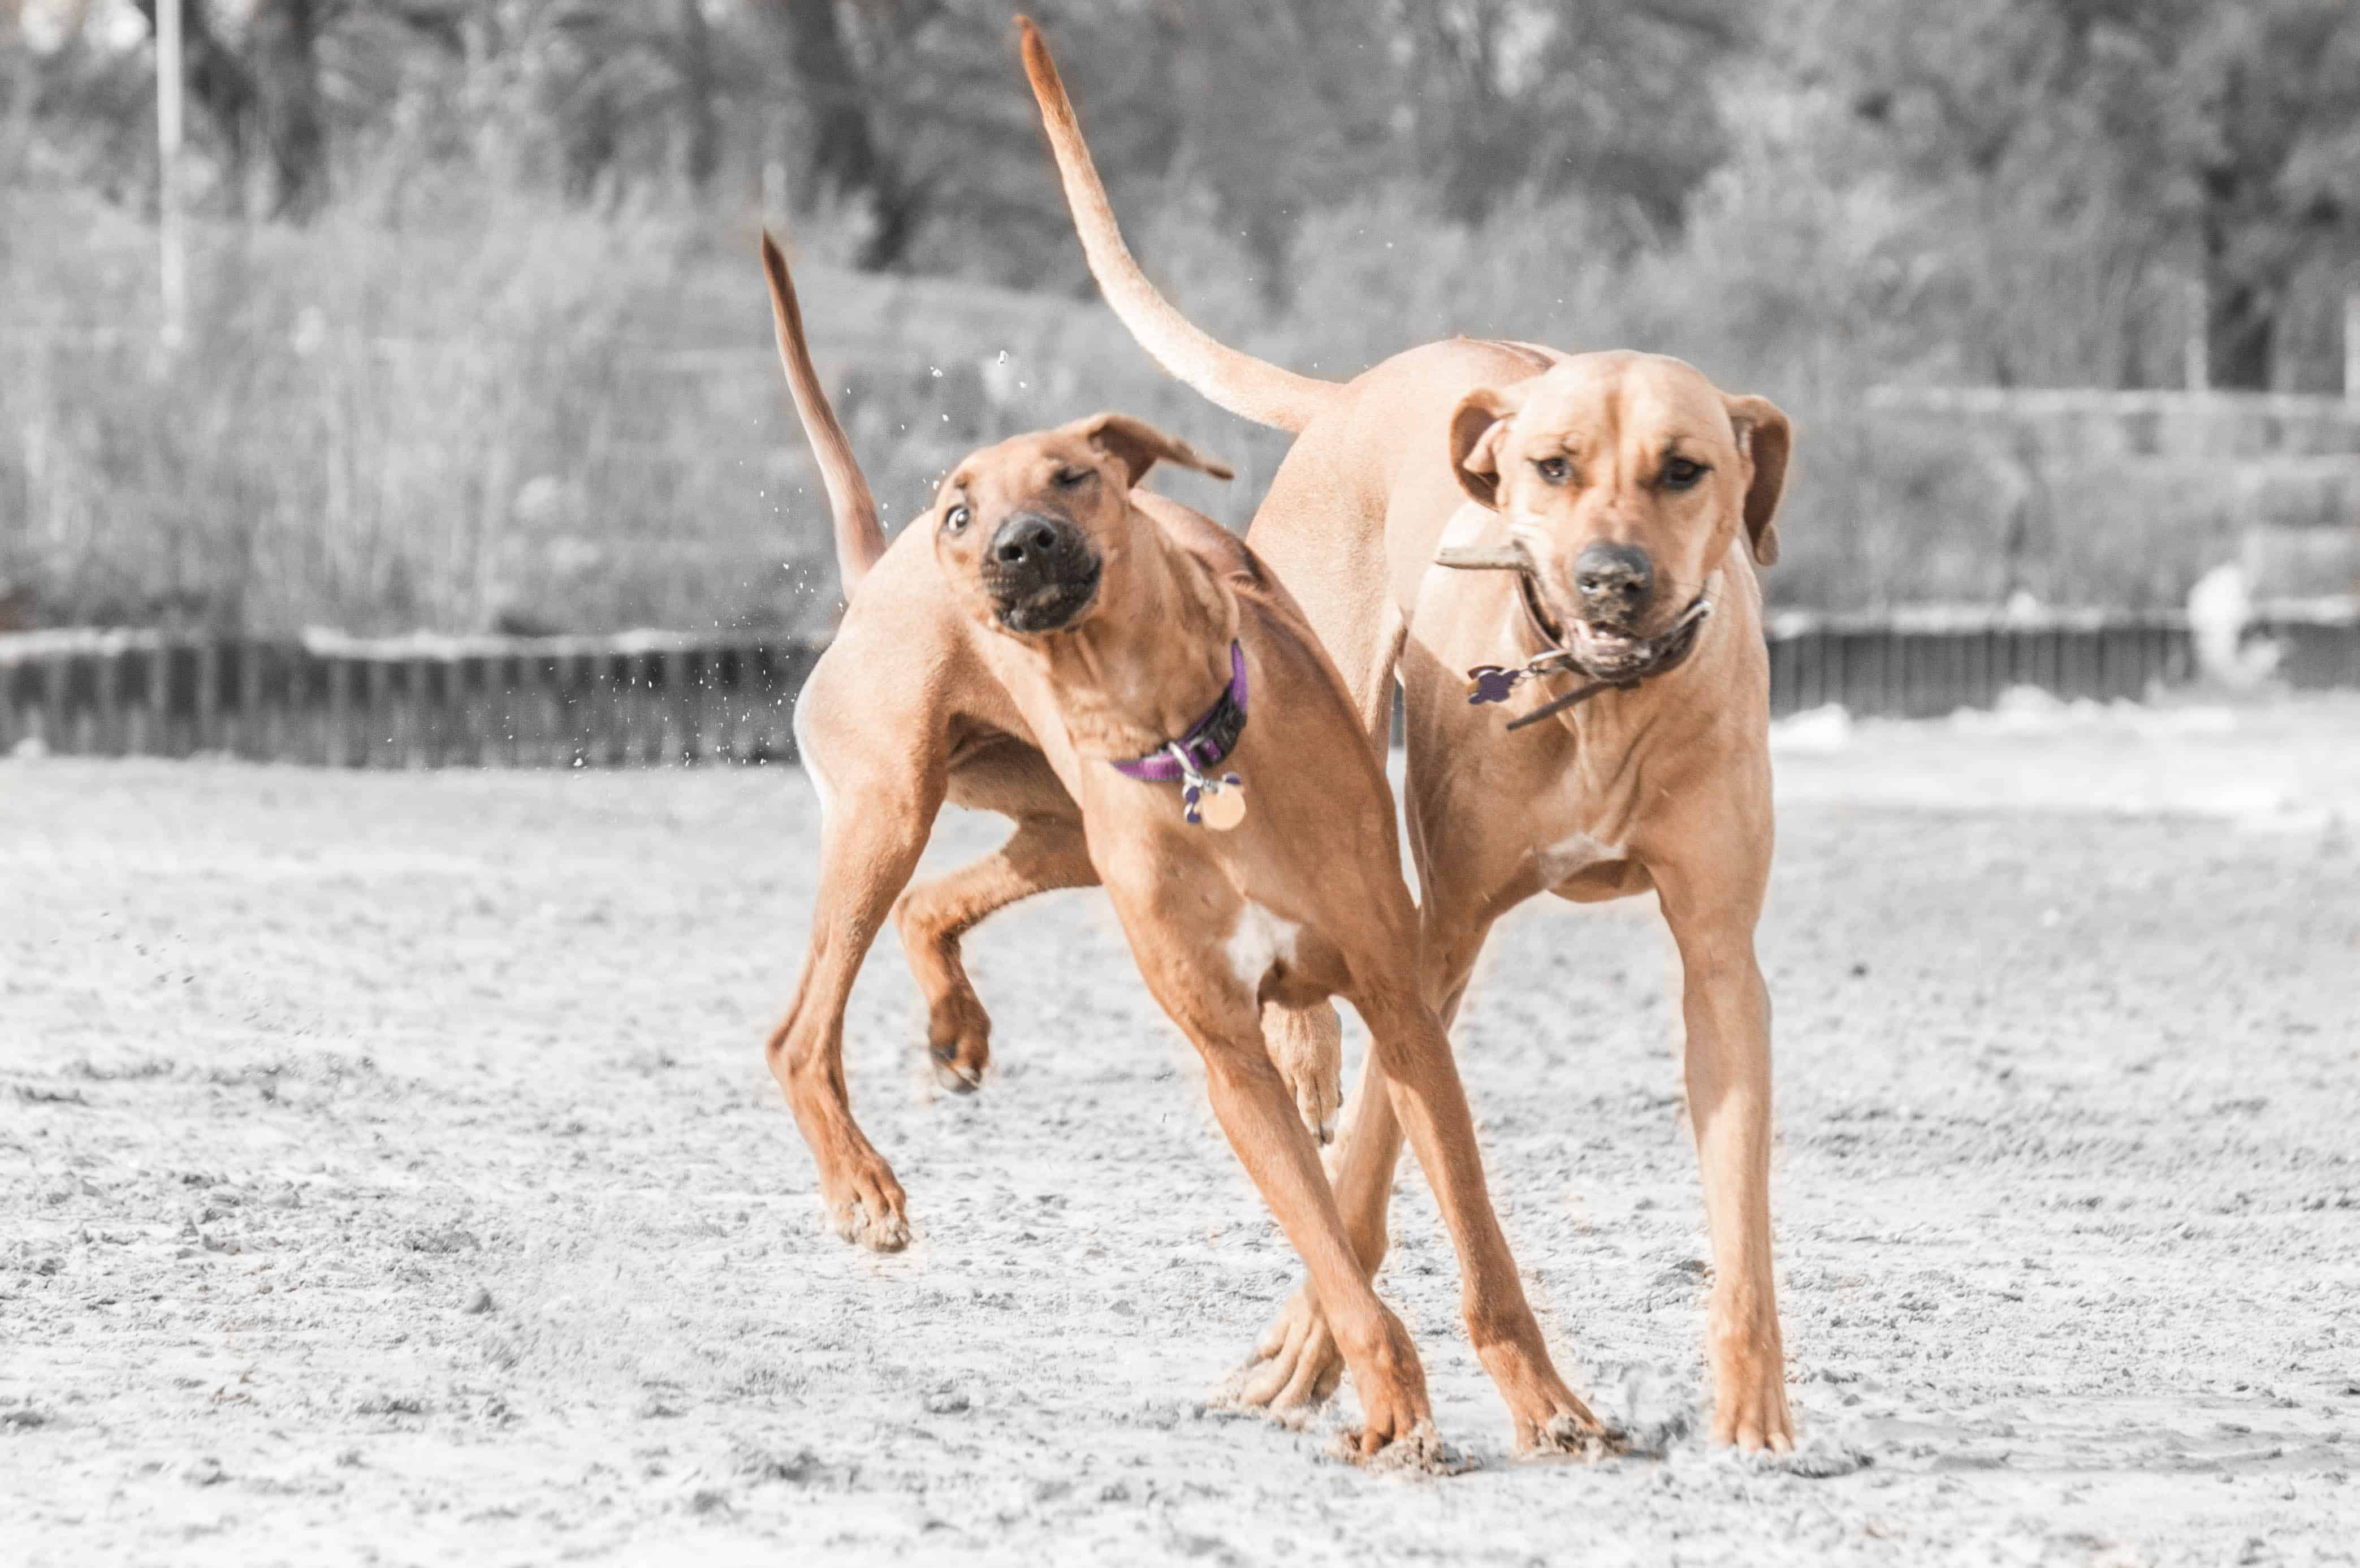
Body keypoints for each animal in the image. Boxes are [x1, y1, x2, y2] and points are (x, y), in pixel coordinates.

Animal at [755, 236, 1623, 1473]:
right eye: (966, 510)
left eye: (1073, 475)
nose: (1016, 545)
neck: (1179, 728)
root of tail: (882, 571)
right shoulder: (1230, 1058)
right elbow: (1330, 1247)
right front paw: (1385, 1401)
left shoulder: (1402, 1010)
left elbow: (1469, 1235)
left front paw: (1541, 1400)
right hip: (885, 808)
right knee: (799, 1029)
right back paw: (862, 1185)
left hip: (1055, 830)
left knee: (931, 903)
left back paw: (953, 1026)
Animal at [1024, 21, 1793, 1454]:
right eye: (1551, 467)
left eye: (1685, 469)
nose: (1611, 580)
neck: (1595, 700)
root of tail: (1372, 380)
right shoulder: (1436, 934)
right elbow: (1376, 1155)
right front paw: (1310, 1352)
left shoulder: (1719, 957)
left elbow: (1738, 1204)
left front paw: (1756, 1410)